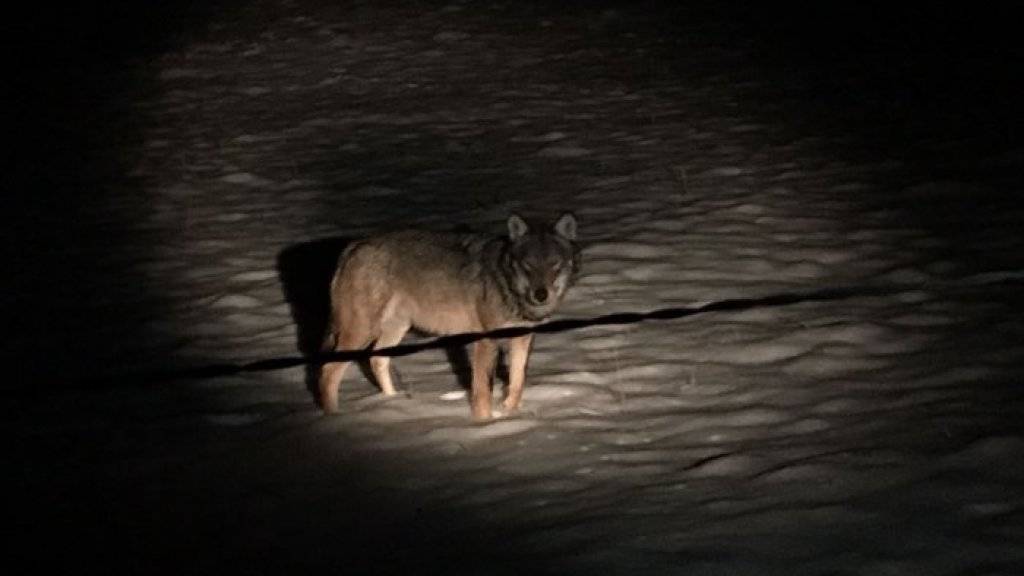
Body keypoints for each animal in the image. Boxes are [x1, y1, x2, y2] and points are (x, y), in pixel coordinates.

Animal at [315, 211, 581, 416]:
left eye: (555, 265)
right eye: (528, 266)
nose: (541, 294)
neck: (507, 283)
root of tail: (353, 246)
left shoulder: (522, 339)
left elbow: (517, 382)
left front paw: (509, 413)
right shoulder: (486, 341)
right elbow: (482, 392)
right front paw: (486, 425)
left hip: (395, 329)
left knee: (376, 361)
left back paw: (393, 401)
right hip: (361, 332)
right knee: (328, 372)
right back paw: (333, 419)